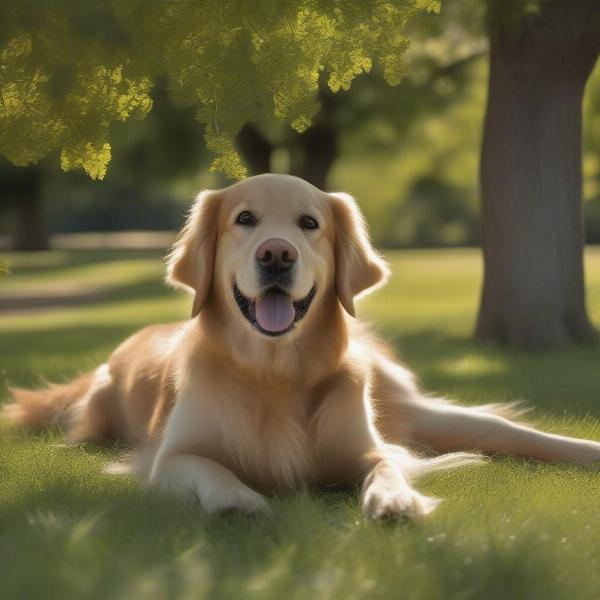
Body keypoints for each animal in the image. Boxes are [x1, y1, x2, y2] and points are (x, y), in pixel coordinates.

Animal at [4, 171, 600, 516]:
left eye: (309, 223)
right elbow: (211, 469)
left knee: (506, 430)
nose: (276, 254)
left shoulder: (367, 446)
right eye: (244, 219)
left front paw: (396, 498)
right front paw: (237, 499)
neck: (277, 375)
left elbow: (386, 465)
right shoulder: (170, 458)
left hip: (410, 408)